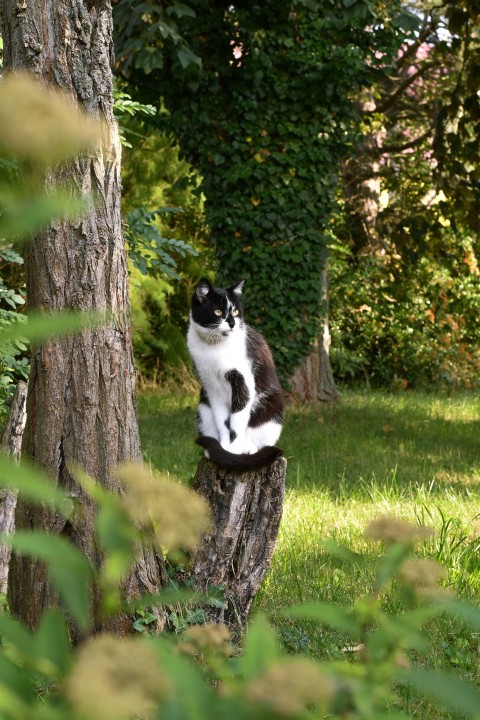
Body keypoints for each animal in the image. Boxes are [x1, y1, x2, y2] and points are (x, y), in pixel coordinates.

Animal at [187, 278, 284, 472]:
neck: (214, 348)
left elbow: (237, 420)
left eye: (236, 311)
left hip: (272, 406)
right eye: (218, 311)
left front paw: (234, 450)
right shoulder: (211, 388)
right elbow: (223, 421)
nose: (232, 323)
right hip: (203, 407)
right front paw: (225, 447)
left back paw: (248, 448)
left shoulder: (243, 382)